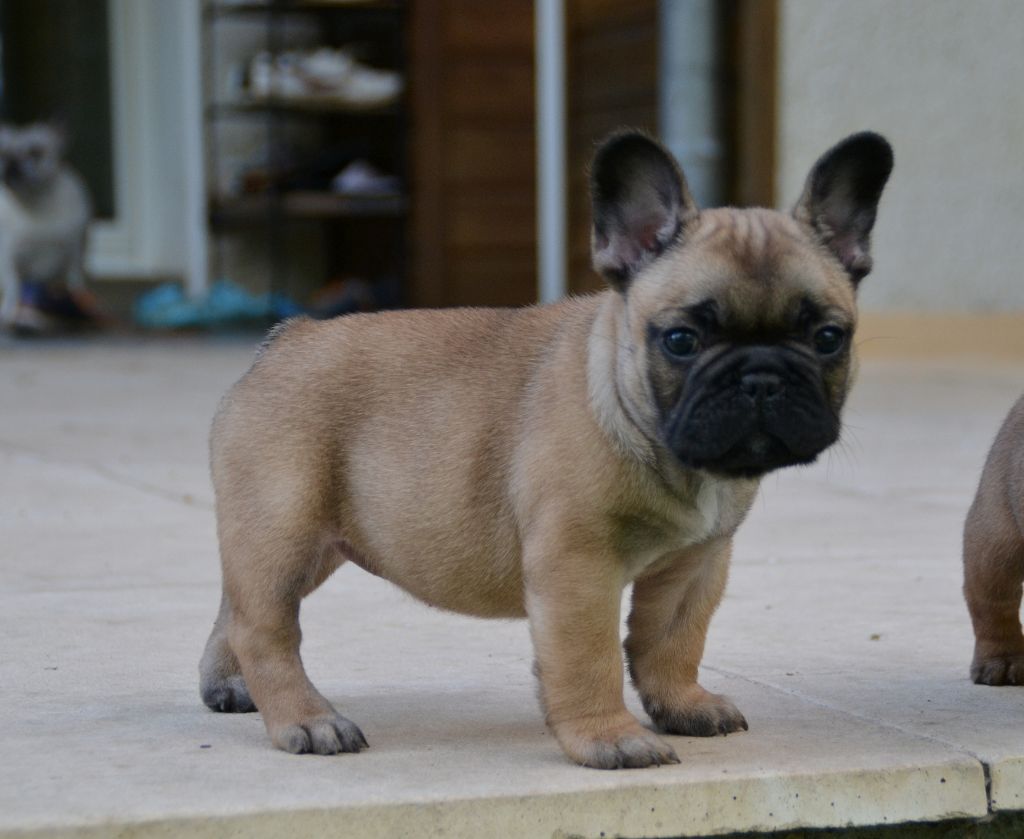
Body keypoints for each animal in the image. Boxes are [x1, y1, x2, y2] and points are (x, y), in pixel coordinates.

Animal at [0, 123, 91, 328]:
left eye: (35, 152)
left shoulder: (74, 255)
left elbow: (75, 284)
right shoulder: (8, 259)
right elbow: (13, 286)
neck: (37, 204)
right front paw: (10, 313)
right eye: (3, 153)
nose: (12, 163)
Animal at [200, 129, 893, 768]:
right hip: (284, 526)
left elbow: (673, 642)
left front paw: (684, 706)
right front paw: (609, 738)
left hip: (316, 541)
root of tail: (288, 338)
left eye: (829, 338)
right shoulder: (577, 567)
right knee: (266, 627)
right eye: (680, 340)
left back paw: (230, 685)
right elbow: (589, 659)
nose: (762, 377)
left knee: (236, 604)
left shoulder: (696, 564)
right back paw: (307, 719)